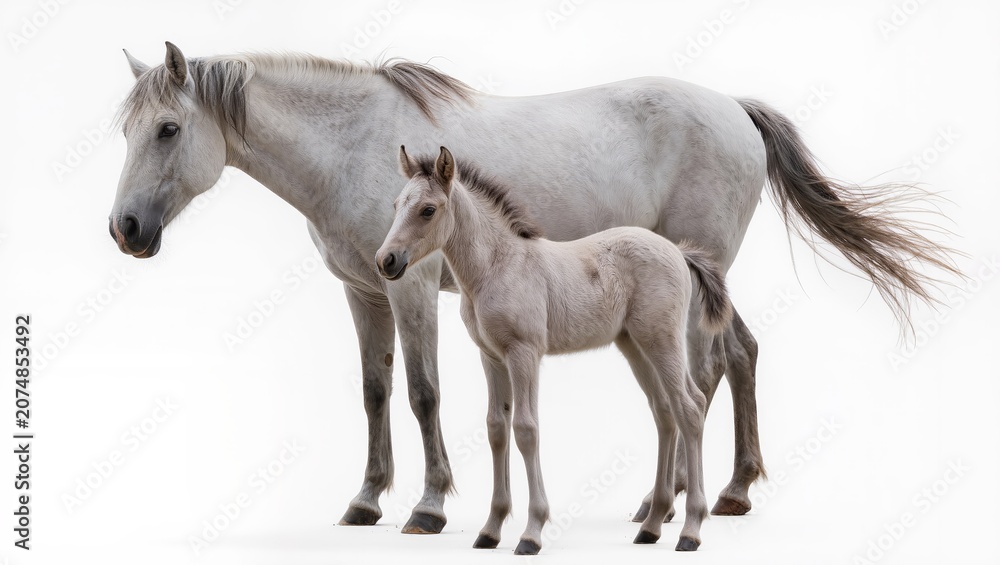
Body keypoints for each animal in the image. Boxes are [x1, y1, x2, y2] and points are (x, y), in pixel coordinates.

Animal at [377, 145, 734, 553]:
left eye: (428, 210)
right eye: (396, 205)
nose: (386, 260)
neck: (496, 266)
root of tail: (677, 251)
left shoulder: (524, 353)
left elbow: (526, 429)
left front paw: (532, 532)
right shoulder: (491, 356)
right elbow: (496, 429)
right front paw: (490, 529)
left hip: (662, 340)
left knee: (689, 408)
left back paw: (691, 529)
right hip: (635, 345)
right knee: (665, 411)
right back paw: (652, 526)